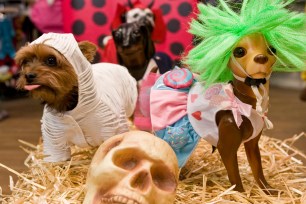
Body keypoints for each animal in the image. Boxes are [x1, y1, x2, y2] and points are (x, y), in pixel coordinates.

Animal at [15, 33, 137, 163]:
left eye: (51, 60)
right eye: (25, 61)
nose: (28, 75)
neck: (70, 104)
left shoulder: (112, 127)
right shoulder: (54, 139)